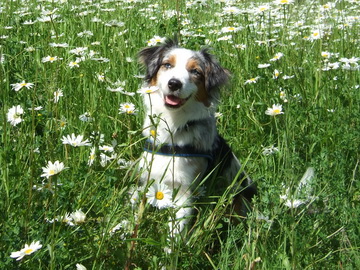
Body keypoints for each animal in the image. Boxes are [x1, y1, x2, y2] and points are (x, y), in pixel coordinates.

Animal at [137, 39, 256, 235]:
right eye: (167, 65)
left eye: (195, 72)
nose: (174, 84)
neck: (173, 128)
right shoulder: (148, 178)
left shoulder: (185, 190)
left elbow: (176, 229)